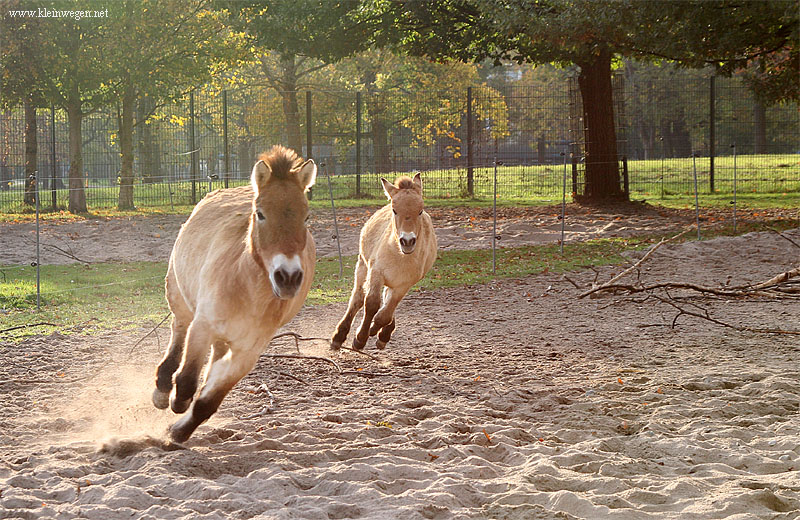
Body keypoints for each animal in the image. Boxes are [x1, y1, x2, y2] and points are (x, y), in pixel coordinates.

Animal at [153, 146, 316, 442]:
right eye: (260, 213)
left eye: (306, 217)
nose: (288, 277)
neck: (247, 291)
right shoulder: (203, 326)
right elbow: (187, 382)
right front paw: (175, 404)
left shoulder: (247, 352)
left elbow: (209, 398)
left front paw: (178, 433)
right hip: (181, 301)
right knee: (178, 332)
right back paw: (161, 389)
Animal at [332, 174, 438, 350]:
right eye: (395, 210)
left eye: (420, 211)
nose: (407, 241)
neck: (399, 256)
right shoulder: (376, 272)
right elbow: (372, 304)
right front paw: (360, 338)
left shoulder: (404, 284)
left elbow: (385, 314)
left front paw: (376, 331)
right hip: (362, 265)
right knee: (358, 298)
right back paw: (339, 336)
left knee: (387, 302)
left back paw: (383, 333)